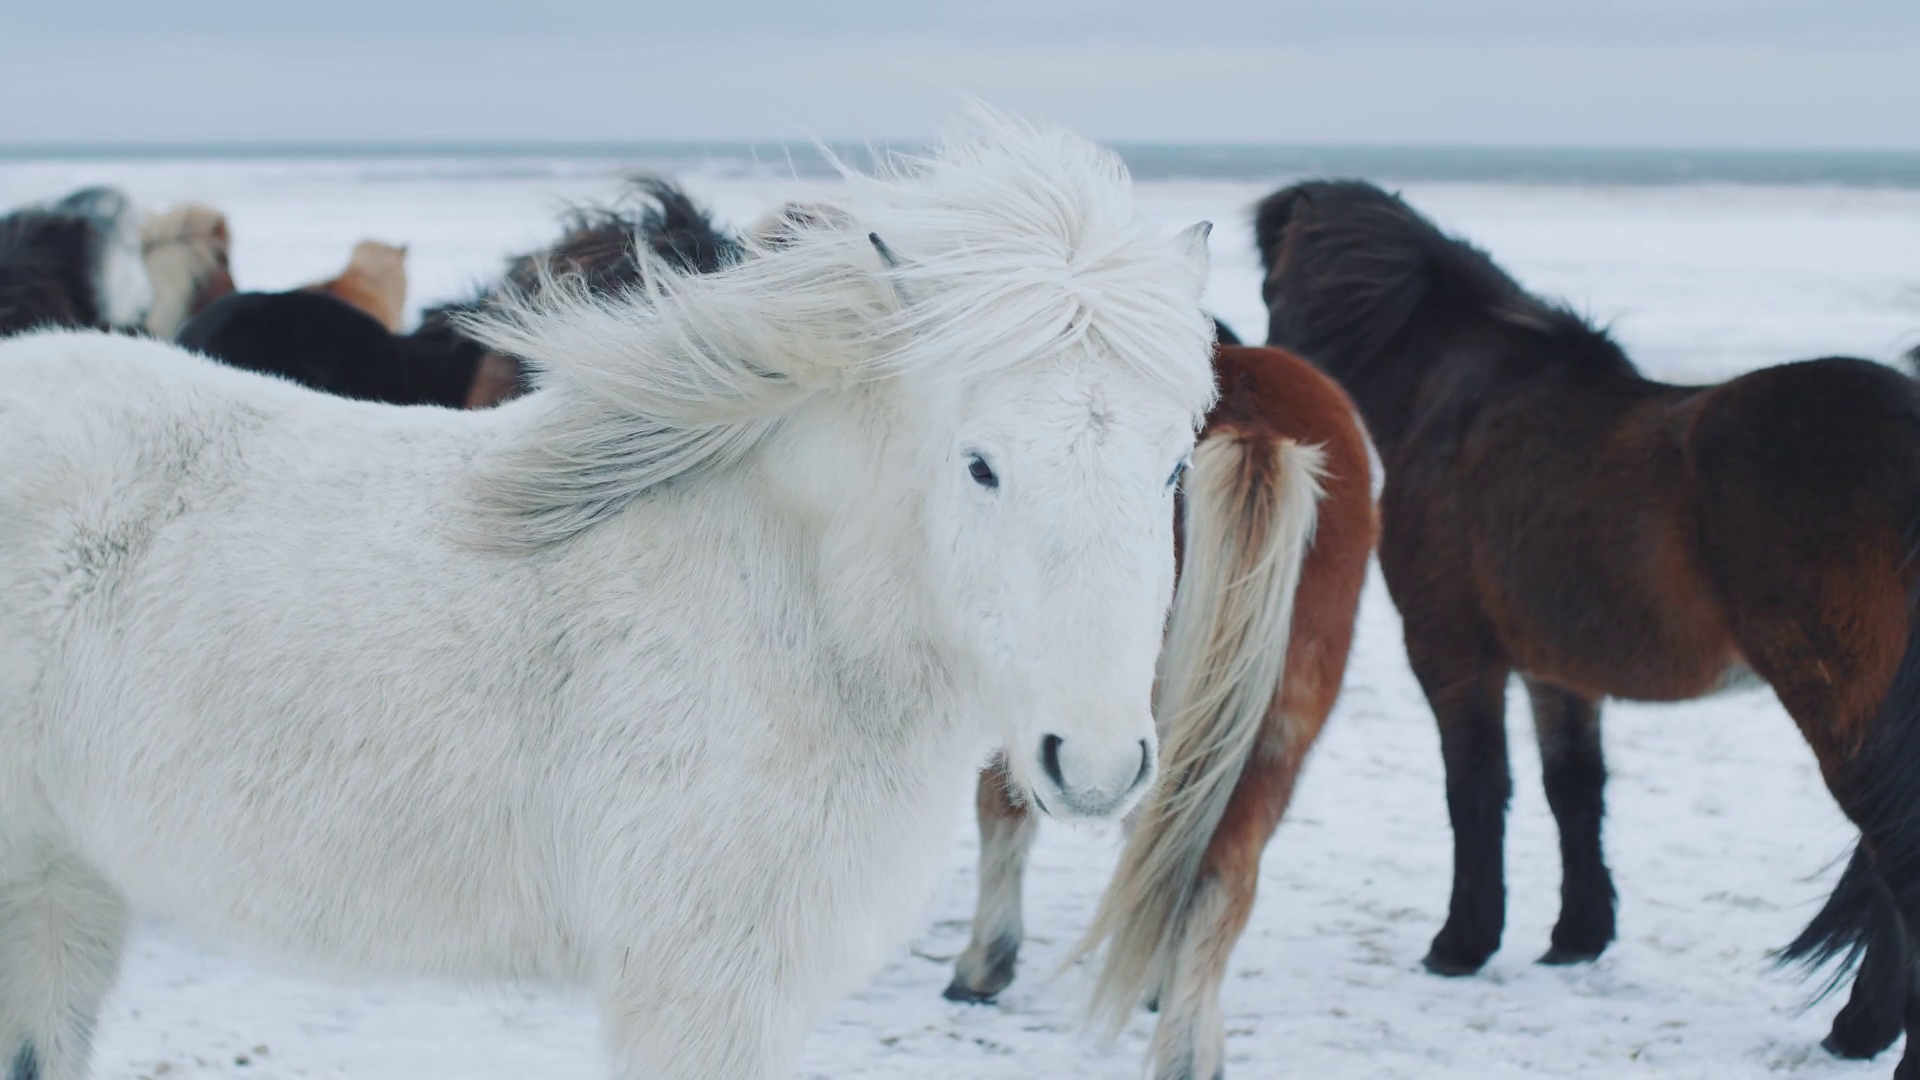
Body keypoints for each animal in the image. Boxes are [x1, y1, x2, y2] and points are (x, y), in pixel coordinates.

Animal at [0, 112, 1217, 1080]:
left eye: (1173, 467)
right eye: (980, 464)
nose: (1095, 763)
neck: (785, 610)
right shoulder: (696, 992)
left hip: (66, 895)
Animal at [943, 334, 1375, 1080]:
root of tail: (1256, 423)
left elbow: (1001, 807)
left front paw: (987, 962)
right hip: (1276, 729)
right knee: (1222, 876)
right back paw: (1187, 1043)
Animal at [1256, 178, 1920, 1075]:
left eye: (1269, 289)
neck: (1462, 401)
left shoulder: (1450, 650)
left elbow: (1476, 788)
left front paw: (1461, 943)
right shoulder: (1556, 670)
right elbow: (1573, 789)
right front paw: (1577, 936)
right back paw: (1858, 1030)